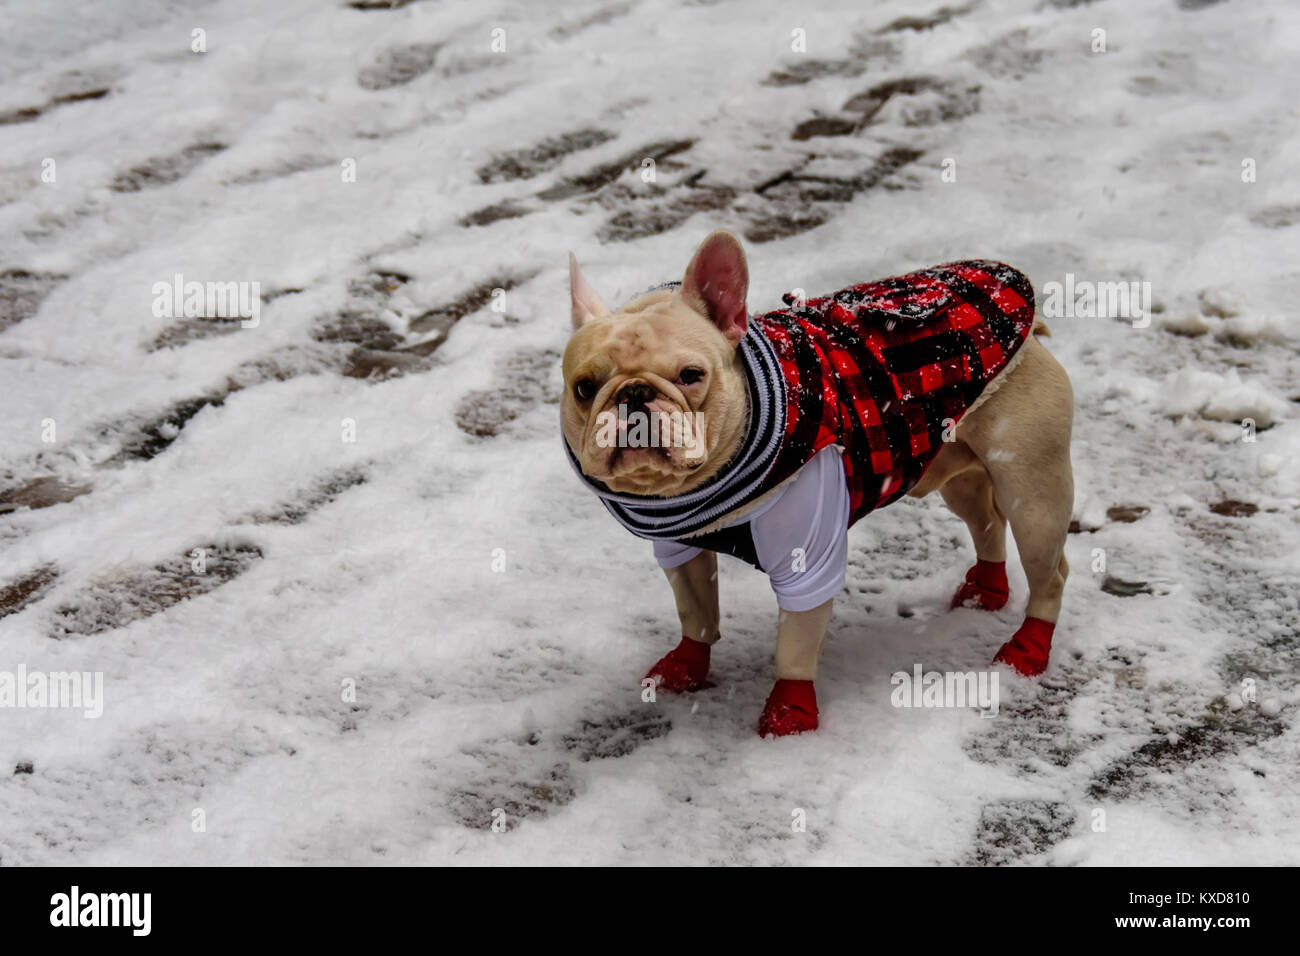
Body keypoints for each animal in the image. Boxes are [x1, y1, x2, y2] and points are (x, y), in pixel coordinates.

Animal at [561, 231, 1076, 738]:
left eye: (691, 376)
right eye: (584, 388)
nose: (634, 394)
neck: (700, 487)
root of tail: (1031, 327)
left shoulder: (805, 564)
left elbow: (795, 645)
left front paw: (789, 716)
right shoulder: (679, 549)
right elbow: (696, 609)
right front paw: (686, 665)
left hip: (1032, 493)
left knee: (1049, 571)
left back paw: (1026, 650)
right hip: (958, 469)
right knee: (985, 520)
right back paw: (984, 591)